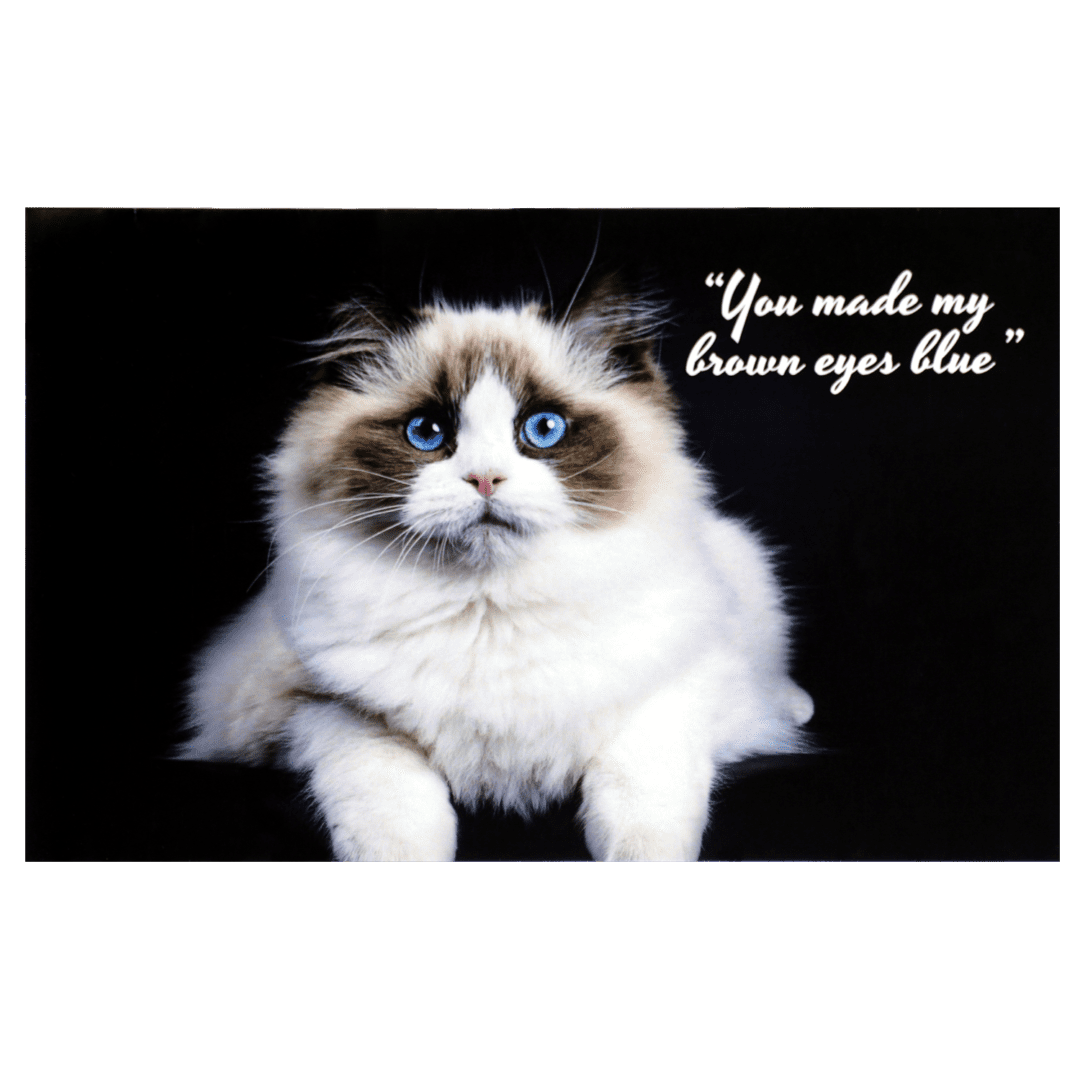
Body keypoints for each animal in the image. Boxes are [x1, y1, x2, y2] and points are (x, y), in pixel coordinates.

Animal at [177, 274, 812, 864]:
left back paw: (800, 705)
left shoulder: (682, 687)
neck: (489, 610)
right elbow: (387, 795)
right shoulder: (314, 709)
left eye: (543, 429)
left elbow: (641, 798)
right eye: (426, 432)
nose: (484, 478)